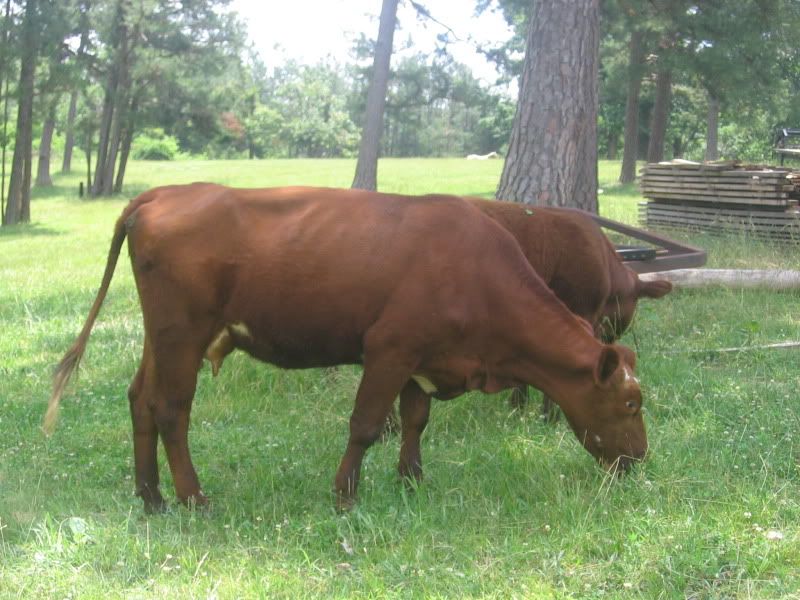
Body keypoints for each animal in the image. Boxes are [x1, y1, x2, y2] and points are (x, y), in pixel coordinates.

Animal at [45, 184, 647, 513]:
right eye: (631, 403)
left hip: (161, 336)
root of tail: (164, 193)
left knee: (140, 400)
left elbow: (415, 420)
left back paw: (151, 498)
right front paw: (345, 495)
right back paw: (194, 498)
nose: (639, 459)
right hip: (182, 333)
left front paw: (412, 481)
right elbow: (366, 425)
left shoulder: (423, 358)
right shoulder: (389, 348)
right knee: (171, 408)